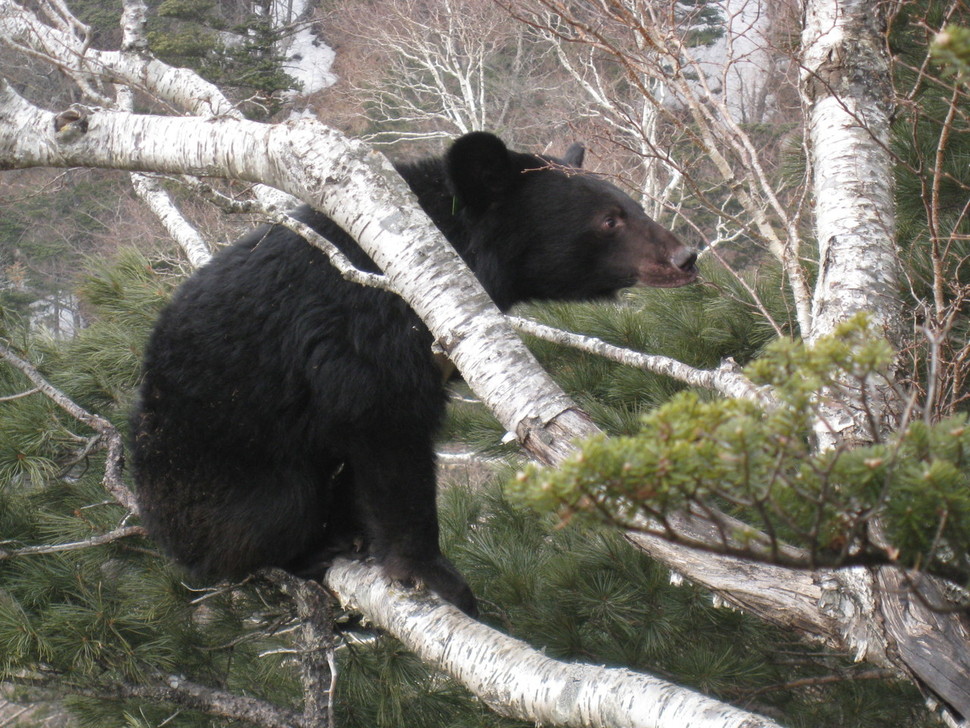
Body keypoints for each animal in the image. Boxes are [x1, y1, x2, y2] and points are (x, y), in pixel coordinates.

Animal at [130, 132, 696, 616]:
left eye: (634, 206)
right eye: (609, 220)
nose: (686, 256)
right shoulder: (367, 331)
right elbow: (388, 433)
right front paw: (437, 577)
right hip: (216, 474)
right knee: (269, 516)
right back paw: (311, 551)